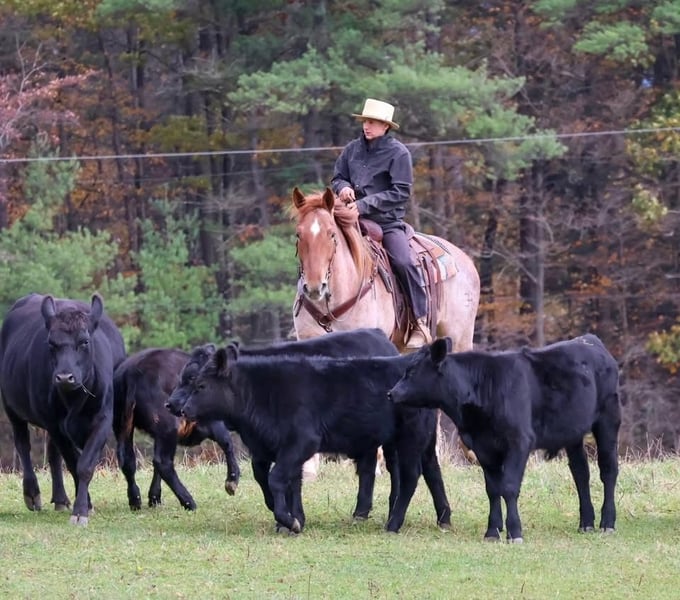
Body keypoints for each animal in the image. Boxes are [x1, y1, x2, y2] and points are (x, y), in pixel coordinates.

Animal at [0, 293, 126, 525]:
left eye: (84, 341)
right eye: (51, 343)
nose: (65, 377)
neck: (74, 399)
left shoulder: (103, 420)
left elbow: (85, 465)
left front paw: (81, 508)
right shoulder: (54, 424)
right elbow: (73, 462)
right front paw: (85, 505)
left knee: (52, 454)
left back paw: (60, 499)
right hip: (11, 406)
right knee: (23, 445)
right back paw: (32, 494)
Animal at [113, 345, 241, 511]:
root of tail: (132, 370)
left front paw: (154, 497)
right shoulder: (213, 423)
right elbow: (227, 442)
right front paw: (232, 480)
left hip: (122, 424)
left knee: (127, 459)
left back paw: (135, 500)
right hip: (167, 425)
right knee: (163, 462)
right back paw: (188, 502)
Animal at [177, 346, 451, 535]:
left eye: (200, 385)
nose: (183, 409)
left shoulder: (302, 441)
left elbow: (276, 478)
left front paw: (288, 520)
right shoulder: (269, 448)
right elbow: (283, 481)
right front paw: (292, 518)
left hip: (410, 438)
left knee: (411, 476)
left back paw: (393, 524)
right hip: (422, 440)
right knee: (432, 471)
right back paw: (444, 519)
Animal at [387, 334, 622, 542]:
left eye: (412, 371)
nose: (391, 393)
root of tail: (590, 340)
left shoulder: (519, 442)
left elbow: (508, 487)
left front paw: (515, 532)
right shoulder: (482, 446)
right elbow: (492, 489)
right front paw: (492, 531)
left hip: (608, 419)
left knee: (608, 470)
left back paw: (607, 523)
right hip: (573, 432)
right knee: (581, 472)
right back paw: (586, 522)